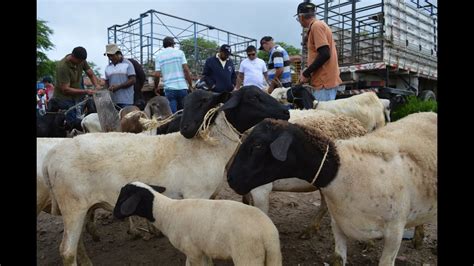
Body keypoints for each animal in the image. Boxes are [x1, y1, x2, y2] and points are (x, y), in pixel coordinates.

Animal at [113, 182, 282, 264]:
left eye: (123, 197)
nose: (115, 214)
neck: (166, 211)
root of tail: (267, 234)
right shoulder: (202, 249)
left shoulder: (192, 251)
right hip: (274, 256)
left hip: (247, 256)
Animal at [226, 112, 436, 266]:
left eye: (258, 145)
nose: (231, 178)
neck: (344, 170)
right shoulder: (339, 226)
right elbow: (337, 259)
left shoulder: (394, 233)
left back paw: (418, 237)